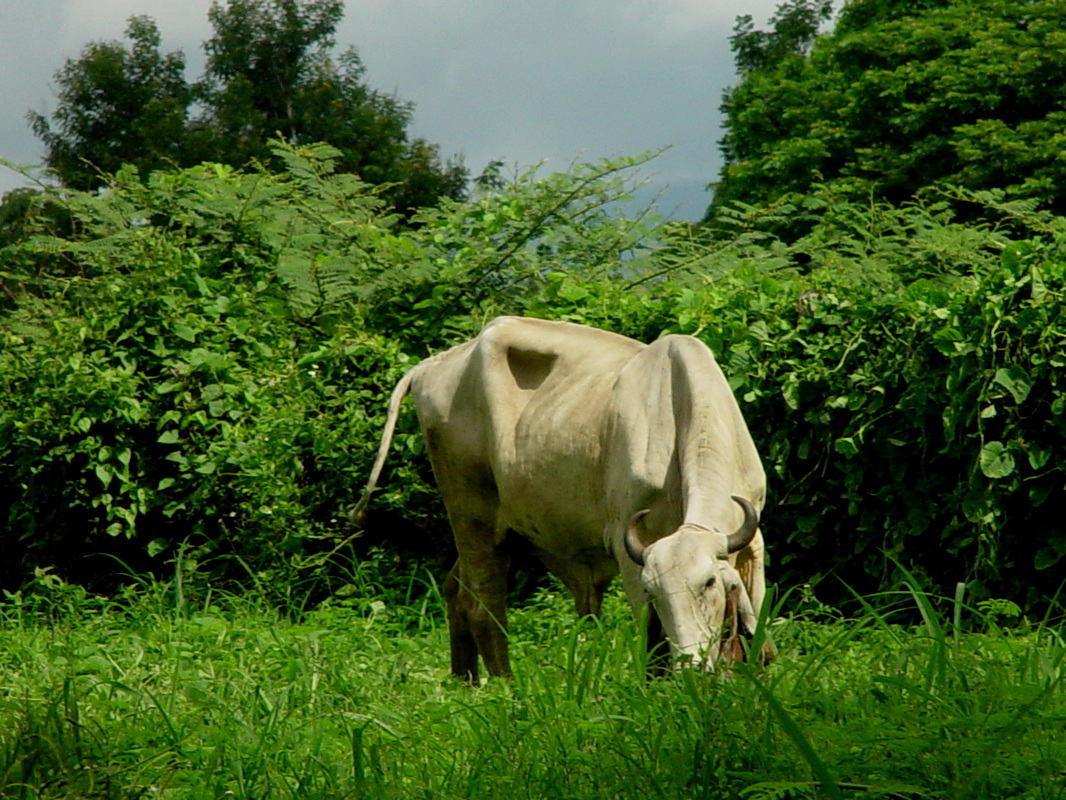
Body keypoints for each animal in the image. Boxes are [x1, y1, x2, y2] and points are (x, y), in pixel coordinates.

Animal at [352, 316, 770, 682]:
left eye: (709, 583)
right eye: (655, 591)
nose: (691, 666)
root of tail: (431, 365)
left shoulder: (752, 543)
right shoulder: (628, 551)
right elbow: (651, 639)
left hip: (499, 530)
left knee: (456, 588)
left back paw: (465, 681)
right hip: (471, 514)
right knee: (482, 605)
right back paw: (505, 686)